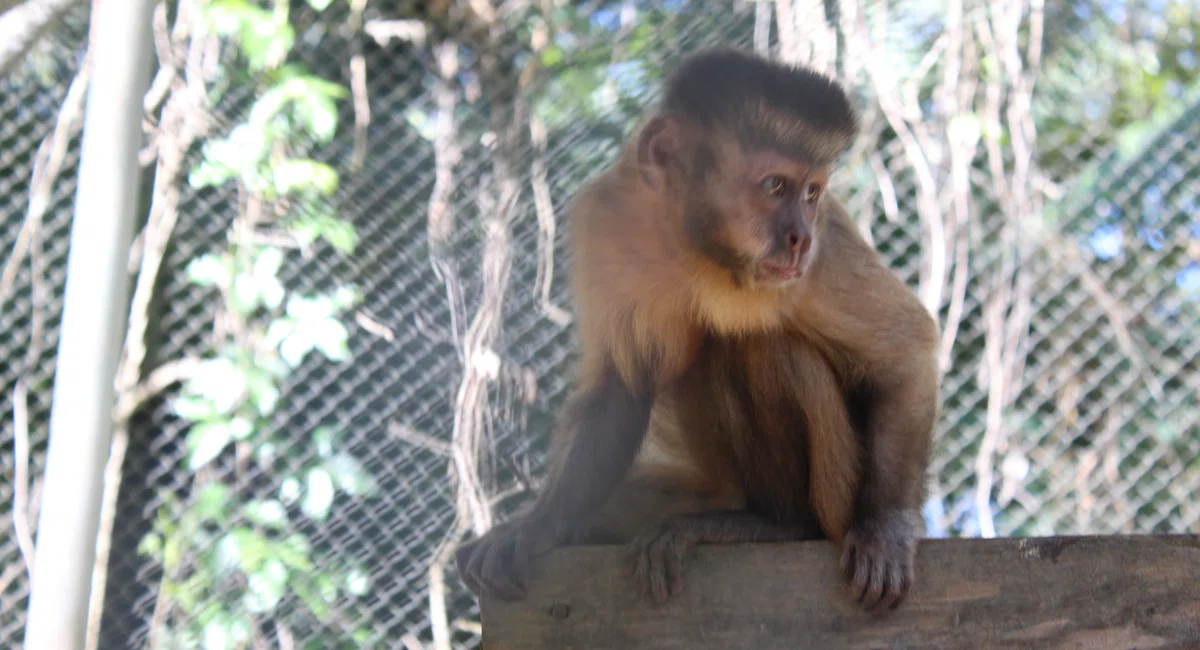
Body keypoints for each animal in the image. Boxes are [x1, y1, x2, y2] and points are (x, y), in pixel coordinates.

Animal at [453, 45, 940, 618]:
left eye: (813, 193)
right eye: (776, 186)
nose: (799, 237)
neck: (692, 246)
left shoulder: (818, 260)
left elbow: (904, 352)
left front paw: (888, 527)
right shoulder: (607, 219)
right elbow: (622, 385)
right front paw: (537, 528)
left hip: (838, 496)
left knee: (756, 347)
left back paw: (776, 522)